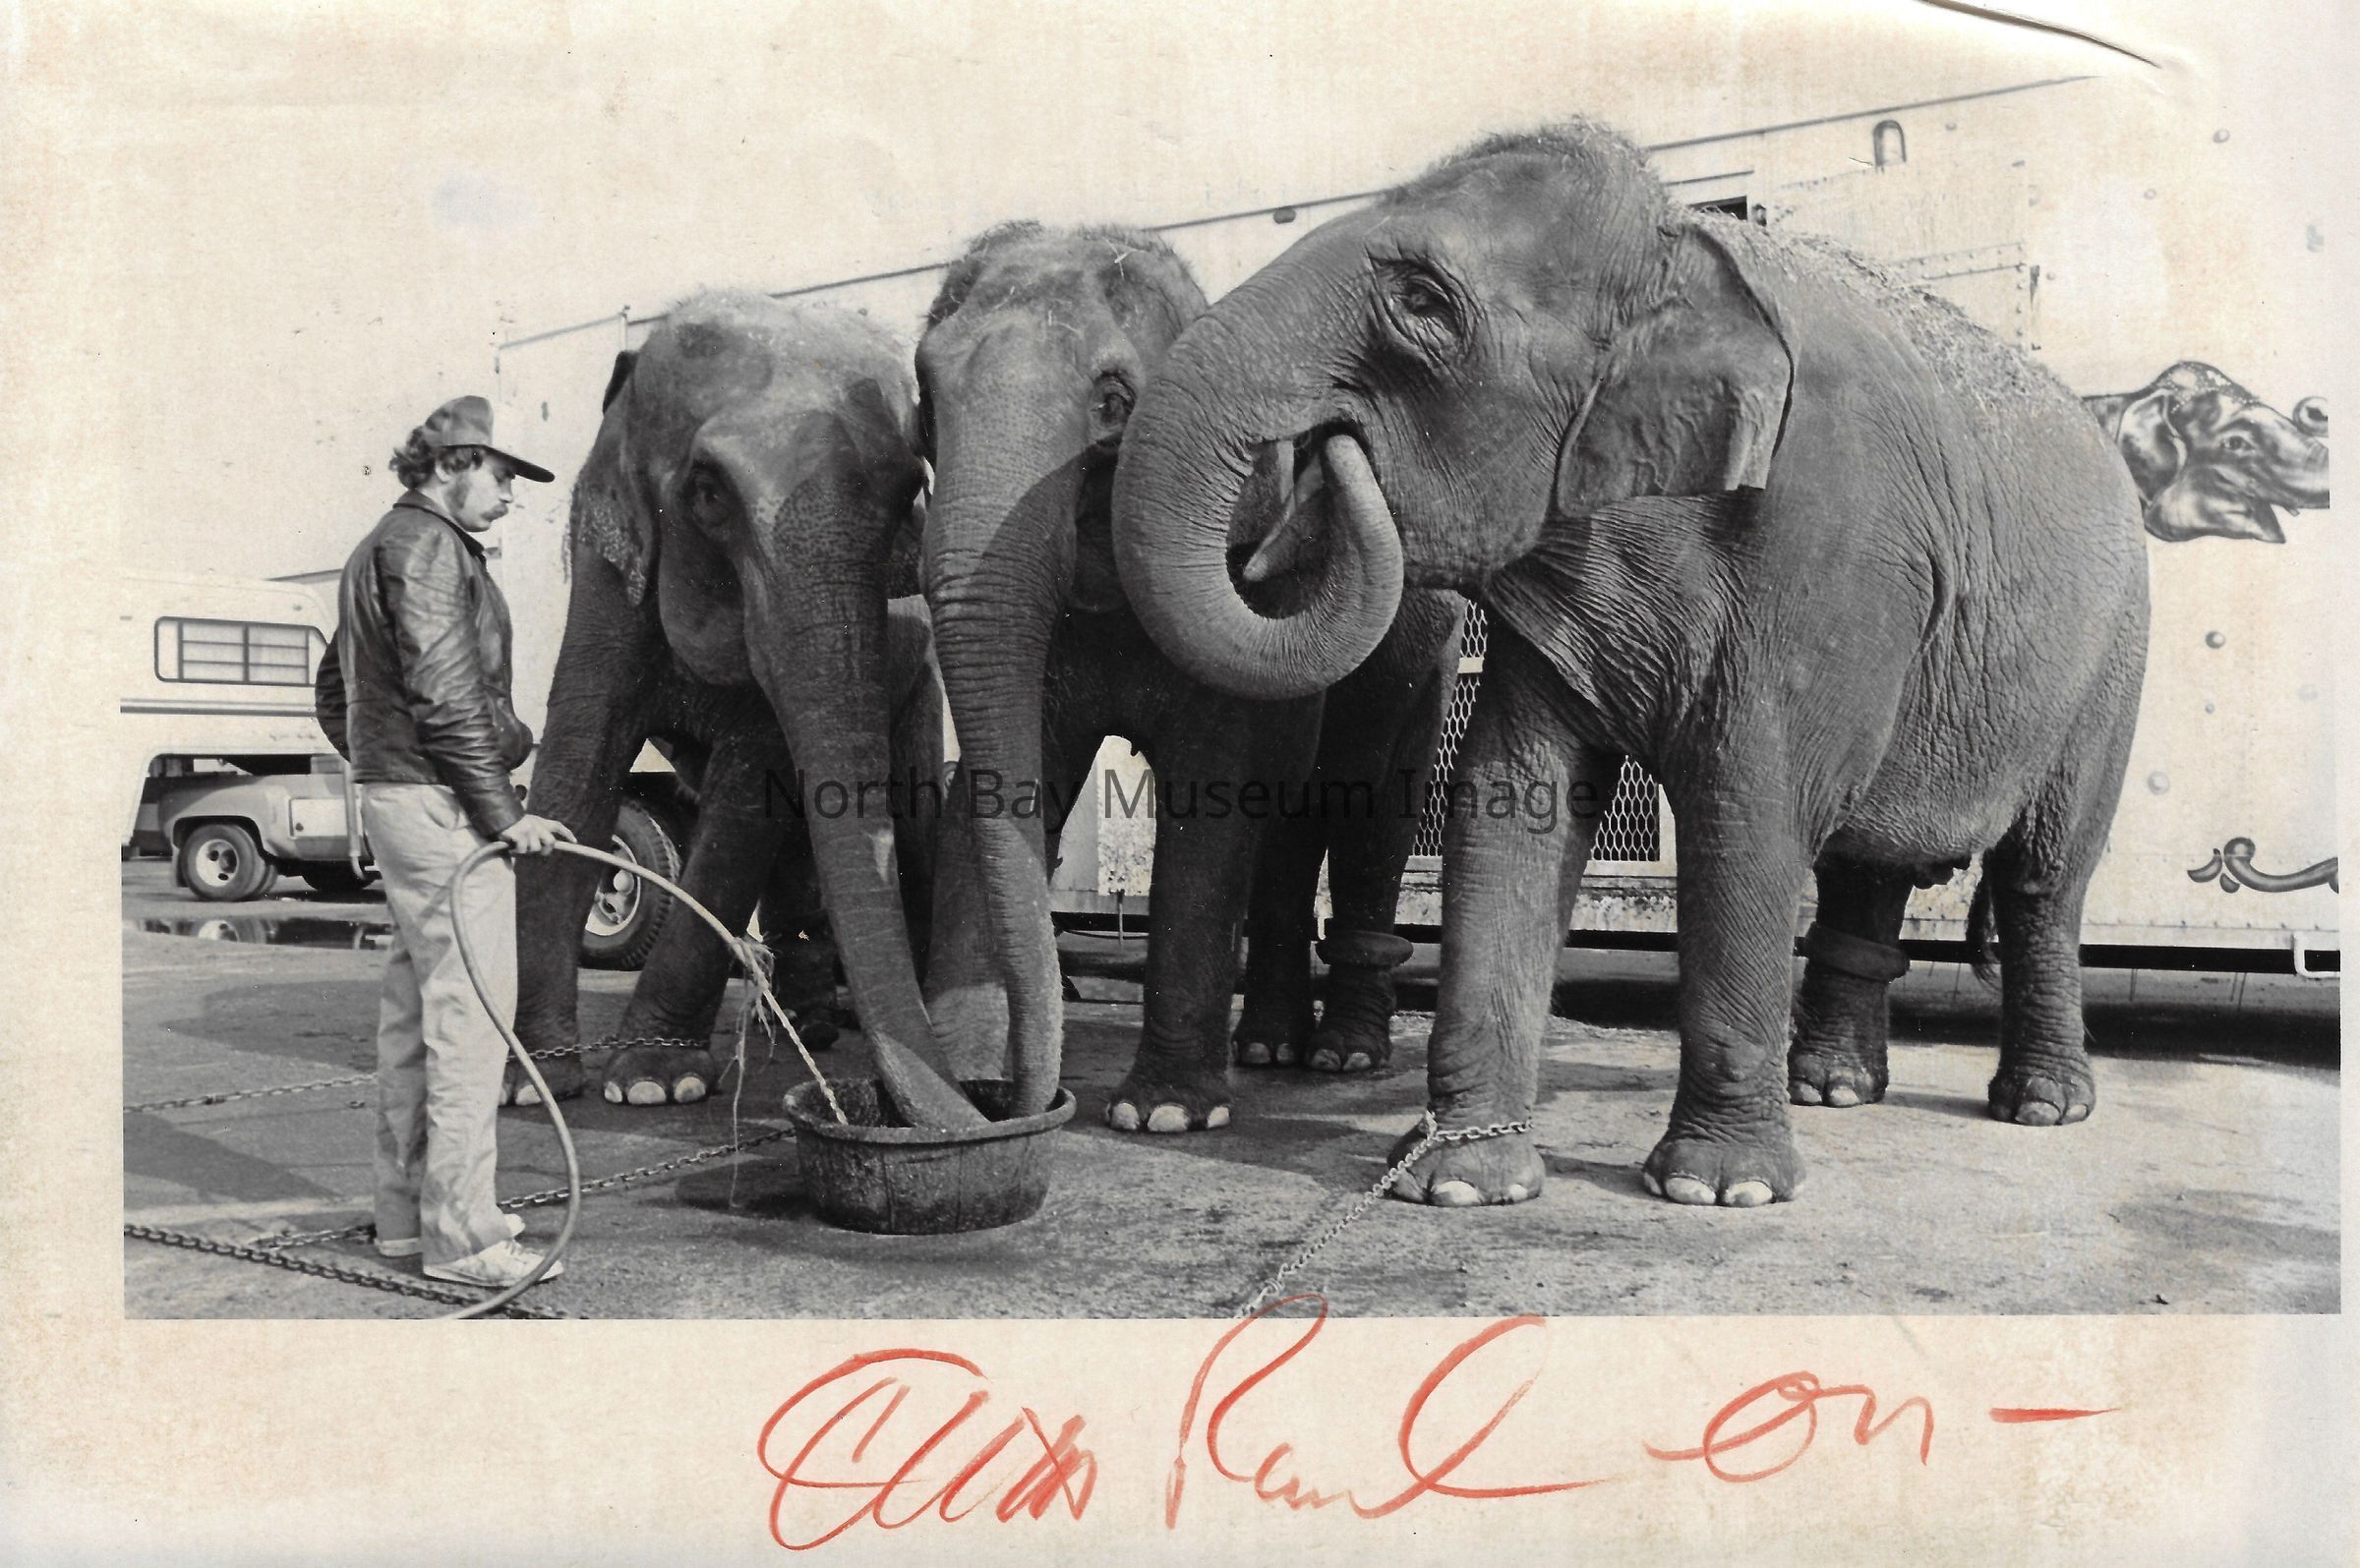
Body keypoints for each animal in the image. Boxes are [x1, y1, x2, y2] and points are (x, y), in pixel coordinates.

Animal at [512, 290, 987, 1131]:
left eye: (910, 495)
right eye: (707, 491)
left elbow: (742, 813)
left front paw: (651, 1085)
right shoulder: (604, 581)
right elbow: (576, 767)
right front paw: (534, 1082)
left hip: (922, 679)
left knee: (904, 820)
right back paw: (812, 1027)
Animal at [914, 221, 1464, 1131]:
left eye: (1113, 404)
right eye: (924, 399)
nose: (1026, 1098)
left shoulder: (1242, 580)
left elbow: (1210, 800)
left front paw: (1163, 1115)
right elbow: (1006, 777)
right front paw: (959, 1089)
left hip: (1424, 660)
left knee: (1370, 809)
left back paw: (1343, 1056)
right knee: (1288, 826)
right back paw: (1269, 1048)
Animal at [1111, 122, 2150, 1209]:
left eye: (1424, 302)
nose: (1329, 451)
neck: (1680, 252)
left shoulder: (1825, 550)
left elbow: (1748, 807)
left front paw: (1717, 1189)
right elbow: (1511, 799)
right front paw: (1463, 1181)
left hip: (2112, 660)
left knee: (2042, 877)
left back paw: (2041, 1105)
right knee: (1872, 861)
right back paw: (1833, 1089)